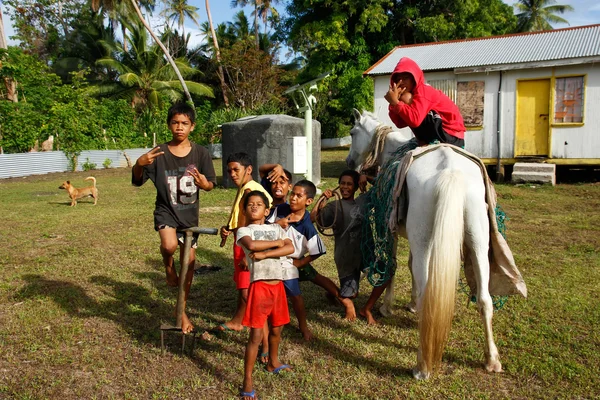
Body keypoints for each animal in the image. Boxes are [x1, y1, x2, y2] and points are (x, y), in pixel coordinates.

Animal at [350, 108, 504, 378]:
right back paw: (492, 359)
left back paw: (422, 366)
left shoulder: (393, 232)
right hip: (478, 241)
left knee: (426, 294)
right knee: (484, 299)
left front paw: (387, 307)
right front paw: (409, 305)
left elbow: (394, 268)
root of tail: (451, 171)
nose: (349, 164)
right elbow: (411, 267)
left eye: (351, 133)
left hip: (428, 240)